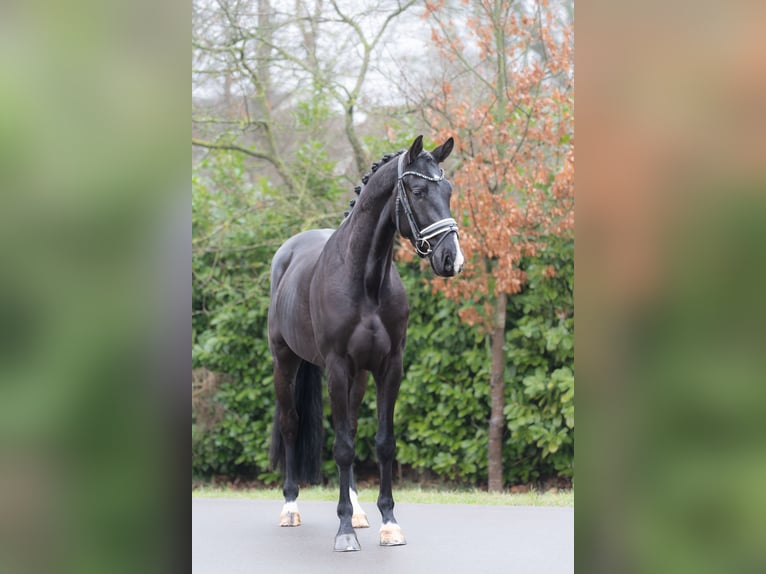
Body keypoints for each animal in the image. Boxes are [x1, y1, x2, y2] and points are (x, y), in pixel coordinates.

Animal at [267, 135, 464, 552]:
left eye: (449, 191)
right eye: (418, 191)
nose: (452, 259)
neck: (366, 280)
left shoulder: (390, 367)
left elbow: (382, 442)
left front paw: (389, 522)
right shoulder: (337, 367)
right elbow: (341, 447)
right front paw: (343, 531)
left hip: (357, 377)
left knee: (353, 427)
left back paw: (357, 511)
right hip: (285, 362)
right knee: (291, 425)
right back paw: (290, 506)